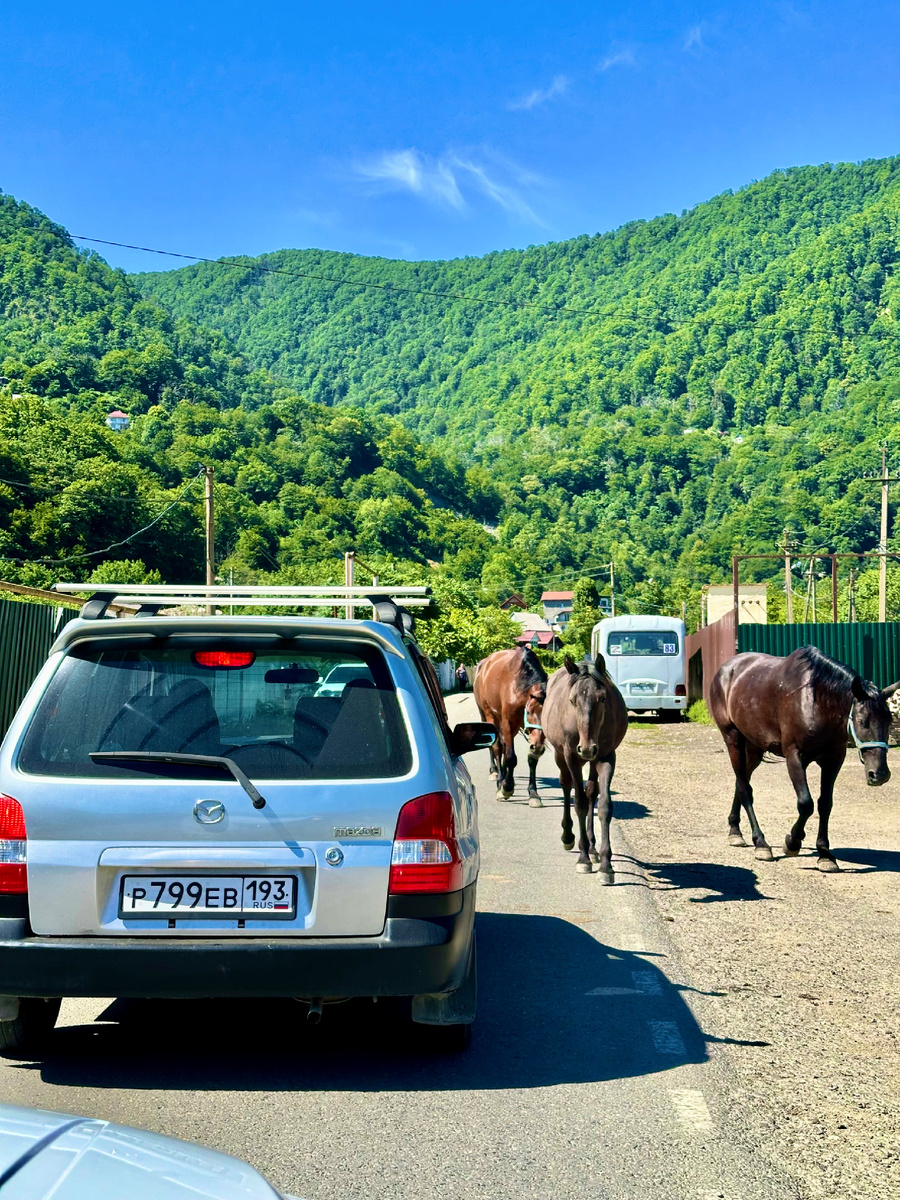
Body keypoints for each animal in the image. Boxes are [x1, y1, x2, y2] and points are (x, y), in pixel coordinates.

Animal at [475, 648, 547, 806]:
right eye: (529, 712)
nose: (538, 746)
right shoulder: (508, 722)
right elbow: (510, 757)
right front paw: (506, 788)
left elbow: (532, 758)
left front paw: (533, 793)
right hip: (487, 714)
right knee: (496, 747)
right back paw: (496, 775)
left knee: (502, 746)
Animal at [542, 657, 628, 883]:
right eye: (572, 701)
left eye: (603, 698)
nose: (587, 748)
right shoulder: (572, 756)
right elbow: (579, 803)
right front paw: (583, 858)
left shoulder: (606, 756)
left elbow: (604, 805)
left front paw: (606, 865)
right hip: (561, 755)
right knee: (566, 785)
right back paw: (569, 837)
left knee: (590, 791)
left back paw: (592, 848)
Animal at [710, 648, 897, 873]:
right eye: (863, 721)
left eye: (889, 720)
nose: (880, 774)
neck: (817, 702)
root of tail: (726, 669)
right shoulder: (795, 757)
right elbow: (806, 803)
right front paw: (792, 842)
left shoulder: (833, 760)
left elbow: (825, 804)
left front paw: (825, 855)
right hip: (733, 739)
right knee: (745, 789)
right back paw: (761, 843)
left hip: (754, 748)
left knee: (741, 782)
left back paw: (735, 830)